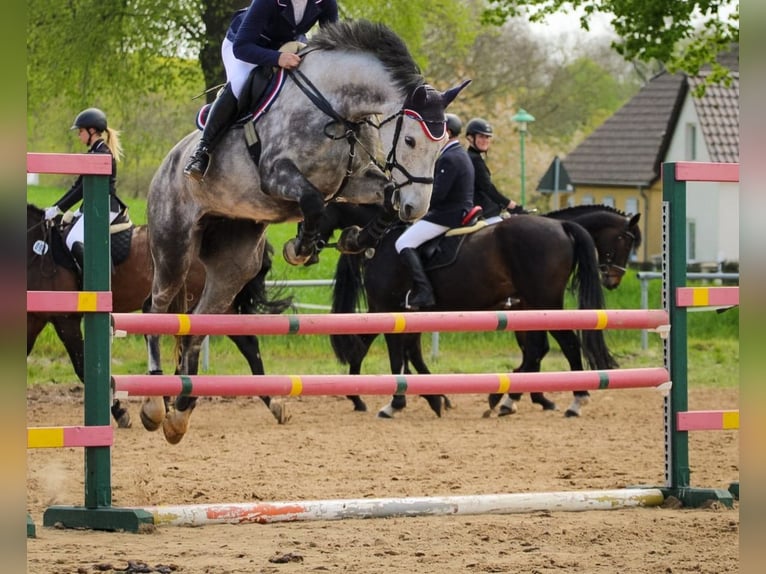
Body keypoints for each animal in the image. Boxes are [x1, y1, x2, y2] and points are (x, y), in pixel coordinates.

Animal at [26, 203, 293, 427]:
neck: (40, 251)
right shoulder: (35, 319)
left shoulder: (65, 319)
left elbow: (82, 367)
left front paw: (120, 412)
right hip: (215, 303)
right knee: (244, 343)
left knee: (201, 343)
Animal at [143, 20, 469, 443]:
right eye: (411, 140)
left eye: (442, 144)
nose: (416, 209)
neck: (336, 108)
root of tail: (166, 164)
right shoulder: (277, 175)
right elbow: (313, 201)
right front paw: (300, 247)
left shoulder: (354, 182)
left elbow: (382, 199)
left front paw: (353, 239)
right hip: (174, 248)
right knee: (156, 309)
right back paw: (154, 404)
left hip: (234, 265)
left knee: (195, 329)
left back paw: (179, 415)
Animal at [328, 206, 639, 418]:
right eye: (625, 240)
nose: (614, 279)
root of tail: (561, 226)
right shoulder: (394, 310)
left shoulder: (388, 308)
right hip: (542, 303)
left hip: (545, 302)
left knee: (568, 343)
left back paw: (573, 400)